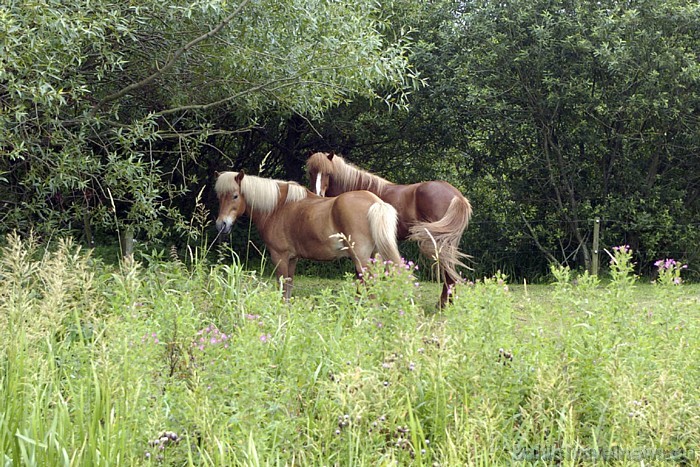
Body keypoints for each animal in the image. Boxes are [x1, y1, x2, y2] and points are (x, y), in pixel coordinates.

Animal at [213, 171, 400, 300]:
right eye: (219, 197)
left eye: (235, 196)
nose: (221, 225)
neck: (278, 207)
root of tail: (376, 203)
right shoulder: (292, 258)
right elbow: (288, 288)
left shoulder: (279, 256)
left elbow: (282, 288)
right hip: (375, 256)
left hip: (361, 259)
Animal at [304, 152, 470, 308]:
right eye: (311, 172)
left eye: (328, 172)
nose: (318, 194)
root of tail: (456, 196)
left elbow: (362, 272)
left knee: (448, 272)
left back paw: (444, 305)